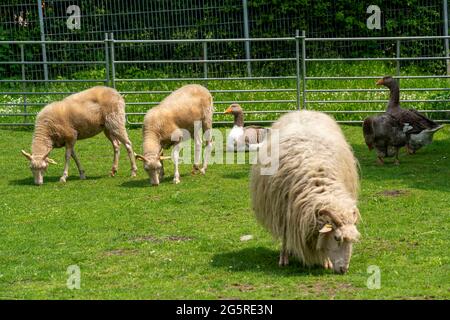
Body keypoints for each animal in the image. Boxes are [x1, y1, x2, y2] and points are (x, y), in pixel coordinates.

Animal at [250, 111, 362, 274]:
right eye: (336, 238)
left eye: (353, 239)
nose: (343, 270)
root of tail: (302, 110)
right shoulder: (283, 211)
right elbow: (285, 235)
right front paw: (284, 257)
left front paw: (326, 261)